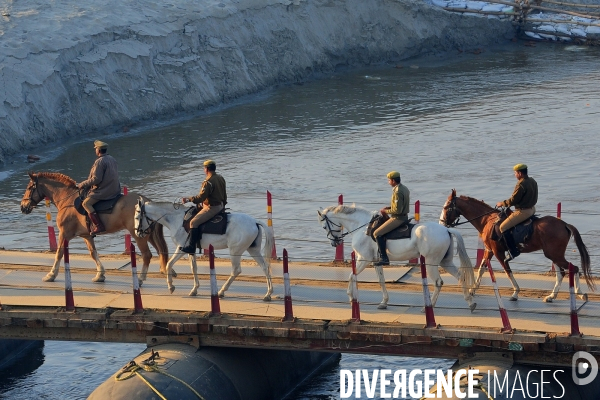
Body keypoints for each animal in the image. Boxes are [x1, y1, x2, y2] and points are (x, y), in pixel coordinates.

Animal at [19, 171, 169, 282]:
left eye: (29, 188)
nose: (23, 207)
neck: (67, 200)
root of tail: (147, 202)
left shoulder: (64, 234)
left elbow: (59, 253)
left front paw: (51, 274)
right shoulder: (87, 236)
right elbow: (93, 253)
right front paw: (100, 274)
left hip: (138, 235)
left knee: (147, 255)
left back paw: (141, 278)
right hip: (149, 234)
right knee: (160, 252)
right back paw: (167, 270)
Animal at [134, 200, 274, 300]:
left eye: (136, 217)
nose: (138, 233)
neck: (177, 219)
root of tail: (255, 222)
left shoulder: (181, 248)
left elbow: (169, 264)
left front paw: (171, 286)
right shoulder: (190, 250)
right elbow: (193, 268)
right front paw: (194, 290)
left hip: (235, 251)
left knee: (236, 270)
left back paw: (221, 292)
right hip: (253, 250)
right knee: (265, 267)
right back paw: (268, 293)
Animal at [316, 205, 476, 310]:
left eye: (324, 227)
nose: (334, 243)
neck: (362, 227)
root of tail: (446, 230)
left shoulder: (363, 259)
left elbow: (352, 276)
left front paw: (350, 297)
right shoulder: (376, 262)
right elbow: (381, 281)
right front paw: (384, 302)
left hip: (431, 263)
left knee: (438, 282)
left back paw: (430, 306)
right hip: (445, 262)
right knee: (460, 276)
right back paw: (470, 302)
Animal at [438, 189, 592, 302]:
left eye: (446, 207)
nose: (441, 223)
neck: (488, 220)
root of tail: (564, 224)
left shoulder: (498, 253)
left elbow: (507, 270)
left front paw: (515, 292)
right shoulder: (489, 251)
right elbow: (481, 269)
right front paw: (472, 289)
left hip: (554, 255)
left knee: (574, 268)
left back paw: (580, 293)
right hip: (554, 255)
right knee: (561, 273)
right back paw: (552, 296)